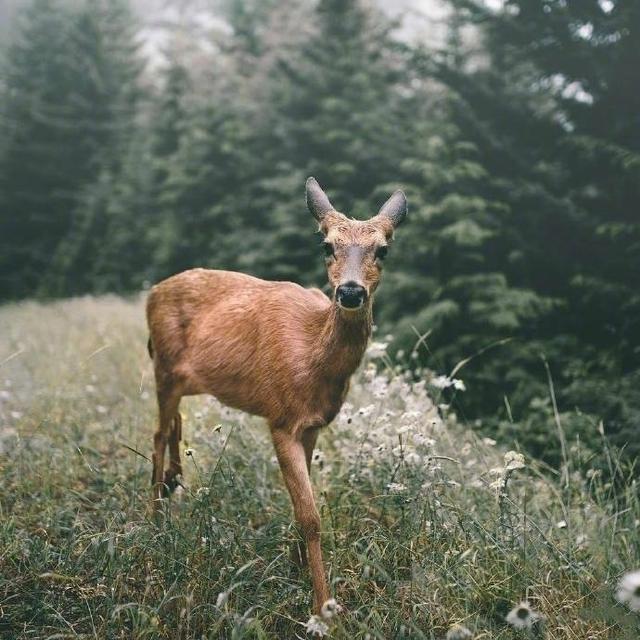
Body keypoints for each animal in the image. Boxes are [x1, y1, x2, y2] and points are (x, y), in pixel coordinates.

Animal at [146, 176, 404, 616]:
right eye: (327, 245)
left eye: (383, 249)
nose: (351, 292)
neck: (313, 357)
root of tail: (152, 293)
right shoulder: (281, 419)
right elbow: (311, 516)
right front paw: (323, 607)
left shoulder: (314, 424)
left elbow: (305, 505)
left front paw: (297, 569)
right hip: (163, 367)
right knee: (158, 434)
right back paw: (154, 518)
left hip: (184, 380)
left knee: (174, 424)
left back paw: (171, 484)